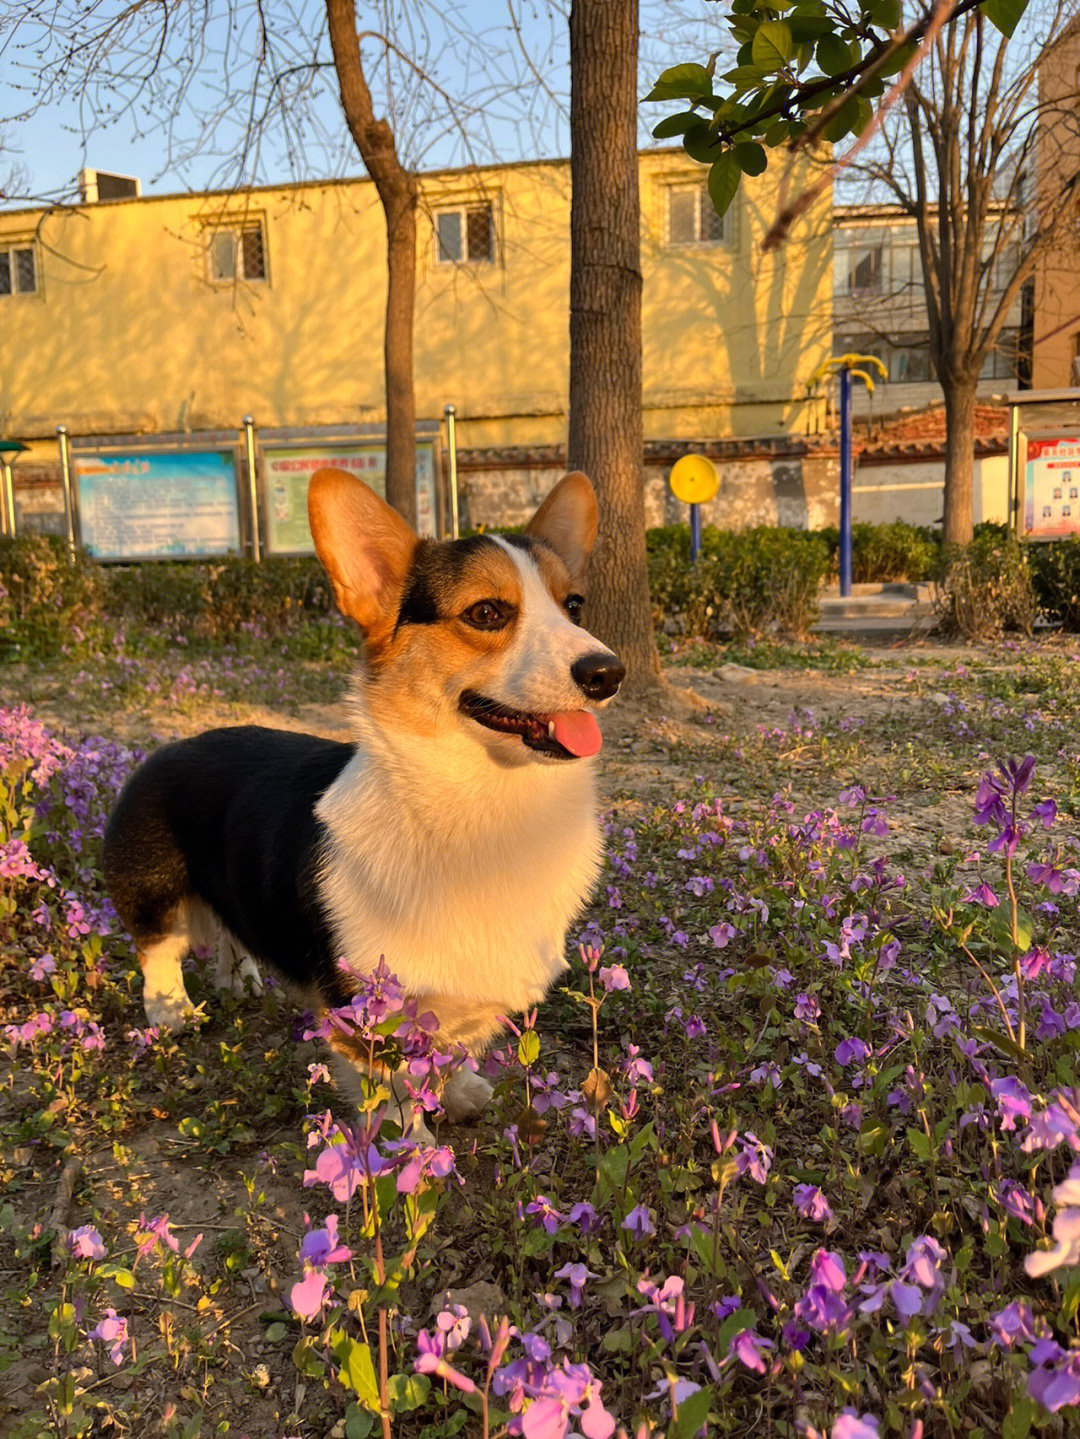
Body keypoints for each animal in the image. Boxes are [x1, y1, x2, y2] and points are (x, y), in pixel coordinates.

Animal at [103, 471, 624, 1133]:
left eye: (573, 605)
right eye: (486, 613)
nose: (609, 672)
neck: (488, 805)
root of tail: (165, 749)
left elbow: (452, 1052)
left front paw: (460, 1092)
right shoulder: (370, 1015)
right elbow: (399, 1099)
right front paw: (417, 1148)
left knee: (229, 930)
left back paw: (239, 978)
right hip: (155, 891)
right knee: (159, 950)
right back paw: (170, 1012)